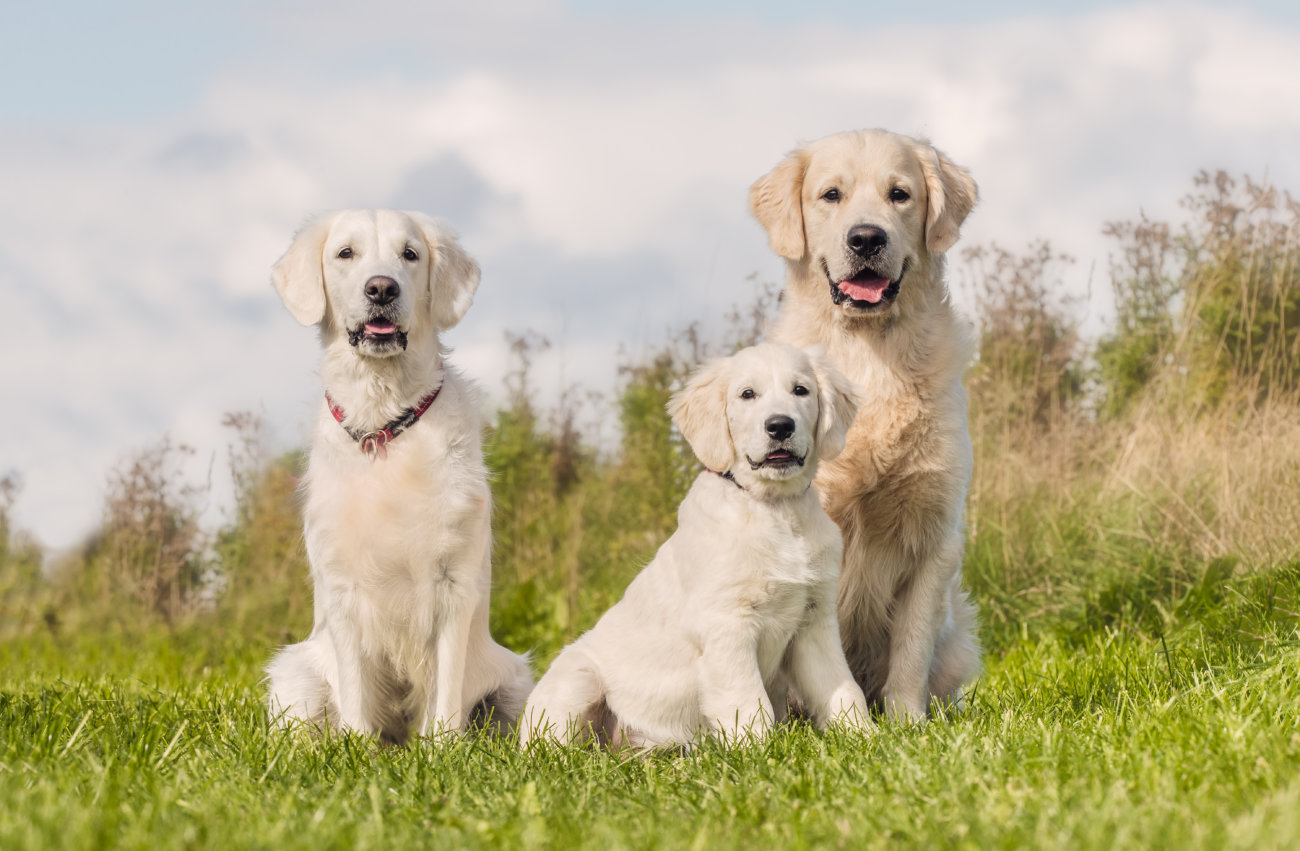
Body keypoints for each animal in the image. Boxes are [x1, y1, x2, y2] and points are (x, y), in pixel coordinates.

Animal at [263, 209, 533, 743]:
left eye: (410, 254)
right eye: (345, 253)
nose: (381, 288)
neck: (383, 426)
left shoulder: (454, 583)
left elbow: (445, 692)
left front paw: (442, 748)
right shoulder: (342, 586)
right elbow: (355, 693)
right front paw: (356, 748)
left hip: (516, 680)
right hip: (294, 674)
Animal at [514, 342, 863, 748]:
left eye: (801, 390)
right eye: (747, 394)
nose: (780, 425)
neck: (774, 509)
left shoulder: (814, 620)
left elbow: (842, 689)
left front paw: (866, 737)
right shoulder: (727, 625)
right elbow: (749, 702)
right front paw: (760, 752)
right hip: (577, 679)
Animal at [754, 129, 977, 722]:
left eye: (899, 194)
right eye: (831, 195)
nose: (866, 238)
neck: (872, 356)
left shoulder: (934, 535)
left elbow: (912, 646)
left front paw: (908, 723)